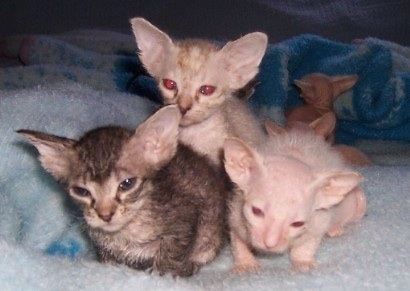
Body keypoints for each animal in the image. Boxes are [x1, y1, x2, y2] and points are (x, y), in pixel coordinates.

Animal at [18, 106, 227, 278]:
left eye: (127, 184)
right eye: (81, 191)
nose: (105, 215)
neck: (127, 231)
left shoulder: (185, 217)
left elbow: (172, 254)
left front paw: (166, 273)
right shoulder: (100, 241)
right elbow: (107, 260)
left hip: (211, 233)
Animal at [223, 117, 366, 274]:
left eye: (297, 224)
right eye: (256, 211)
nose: (270, 244)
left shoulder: (319, 220)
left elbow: (308, 243)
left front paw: (303, 262)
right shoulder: (235, 211)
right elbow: (237, 239)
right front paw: (245, 263)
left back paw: (335, 229)